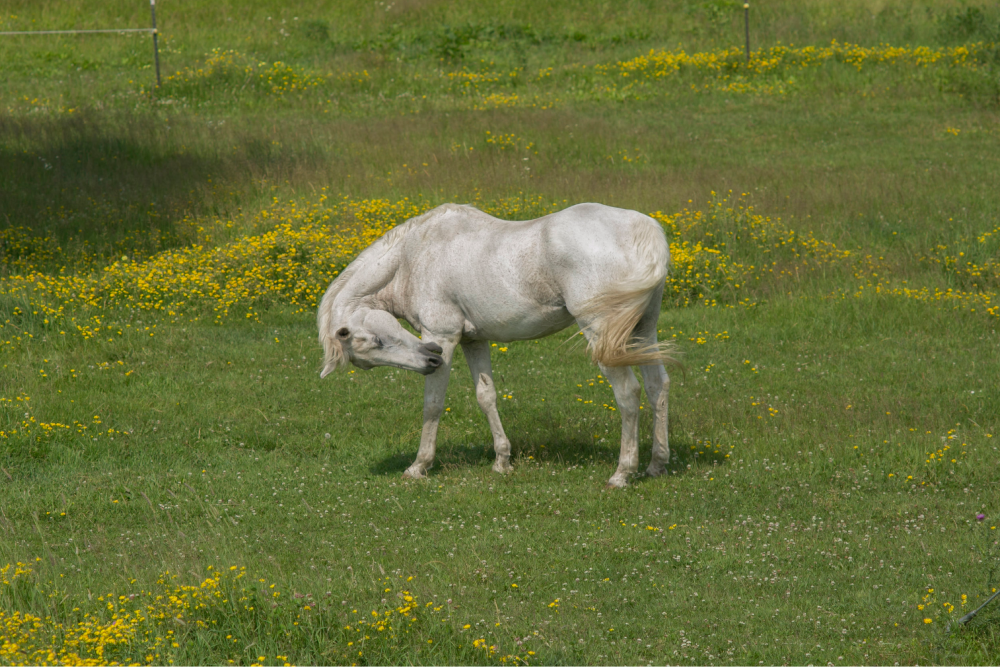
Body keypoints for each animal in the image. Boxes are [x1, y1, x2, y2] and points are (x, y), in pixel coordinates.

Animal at [318, 201, 680, 488]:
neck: (413, 256)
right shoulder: (474, 341)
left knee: (628, 394)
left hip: (604, 336)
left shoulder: (442, 336)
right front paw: (502, 461)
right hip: (643, 332)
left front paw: (419, 465)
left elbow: (433, 404)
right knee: (657, 387)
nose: (431, 360)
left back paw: (622, 473)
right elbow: (486, 396)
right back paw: (656, 465)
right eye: (371, 352)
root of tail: (643, 230)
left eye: (373, 343)